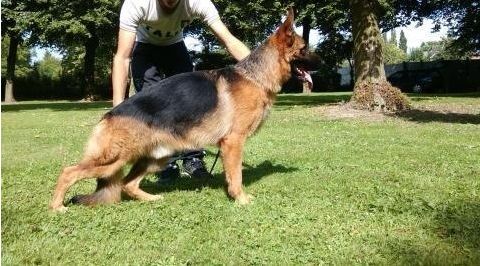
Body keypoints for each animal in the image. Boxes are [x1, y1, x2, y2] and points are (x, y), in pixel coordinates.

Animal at [49, 7, 318, 212]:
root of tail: (109, 115)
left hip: (155, 158)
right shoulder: (233, 142)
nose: (322, 62)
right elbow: (237, 176)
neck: (256, 77)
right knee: (68, 171)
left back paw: (151, 198)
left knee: (127, 184)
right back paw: (56, 207)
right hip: (115, 159)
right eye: (304, 49)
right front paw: (240, 199)